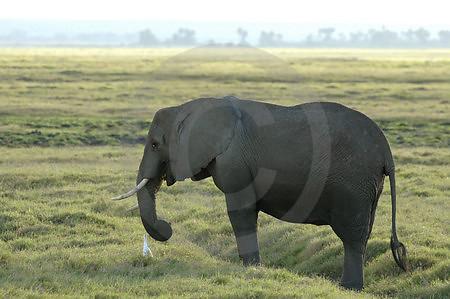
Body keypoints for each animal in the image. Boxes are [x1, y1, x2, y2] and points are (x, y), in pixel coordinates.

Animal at [110, 96, 406, 290]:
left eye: (155, 144)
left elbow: (240, 210)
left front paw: (250, 268)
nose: (167, 226)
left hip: (353, 184)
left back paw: (349, 288)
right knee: (362, 233)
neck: (188, 108)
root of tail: (386, 153)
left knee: (352, 237)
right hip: (368, 186)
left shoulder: (234, 161)